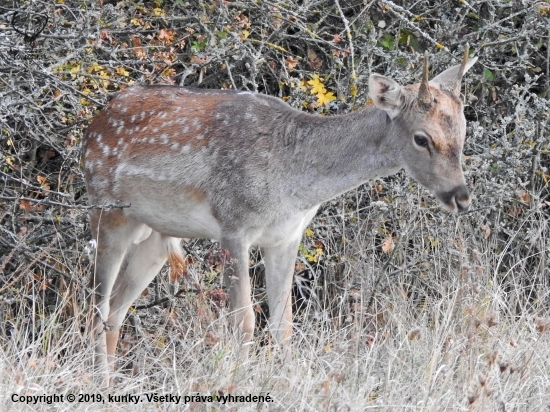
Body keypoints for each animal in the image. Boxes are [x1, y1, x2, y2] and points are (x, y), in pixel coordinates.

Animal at [83, 48, 478, 386]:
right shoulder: (234, 224)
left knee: (116, 310)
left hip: (156, 236)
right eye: (422, 138)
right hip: (106, 210)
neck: (293, 184)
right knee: (97, 306)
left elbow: (282, 322)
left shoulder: (287, 236)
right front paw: (235, 385)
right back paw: (101, 384)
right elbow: (244, 321)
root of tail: (94, 124)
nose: (461, 197)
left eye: (462, 130)